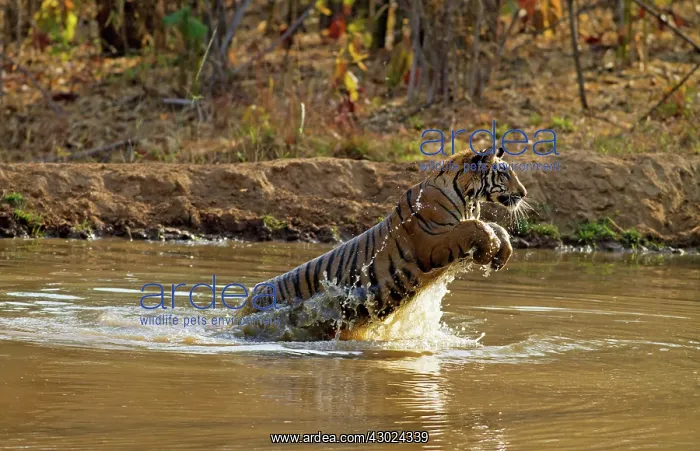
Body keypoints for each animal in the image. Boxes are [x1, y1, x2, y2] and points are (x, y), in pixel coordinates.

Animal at [234, 147, 528, 340]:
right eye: (504, 175)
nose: (524, 193)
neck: (469, 199)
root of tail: (248, 301)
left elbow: (495, 226)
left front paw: (501, 253)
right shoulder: (431, 244)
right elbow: (477, 226)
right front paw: (488, 250)